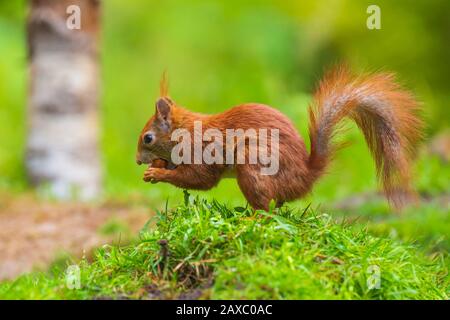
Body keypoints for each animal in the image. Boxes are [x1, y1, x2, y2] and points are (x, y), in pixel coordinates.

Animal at [135, 67, 424, 210]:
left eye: (148, 138)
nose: (137, 161)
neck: (185, 131)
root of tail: (306, 175)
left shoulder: (201, 151)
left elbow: (199, 179)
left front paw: (157, 173)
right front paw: (155, 168)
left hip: (252, 164)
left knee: (265, 208)